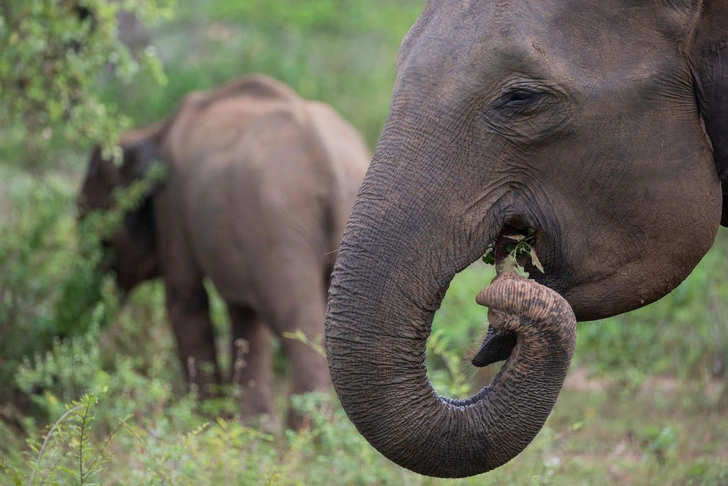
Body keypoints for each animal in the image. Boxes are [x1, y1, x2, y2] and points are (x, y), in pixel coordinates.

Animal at [79, 73, 370, 430]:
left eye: (89, 221)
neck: (149, 131)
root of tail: (328, 163)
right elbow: (244, 315)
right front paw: (249, 428)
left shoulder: (172, 205)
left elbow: (186, 300)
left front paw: (207, 422)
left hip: (279, 226)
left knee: (298, 324)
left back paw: (304, 437)